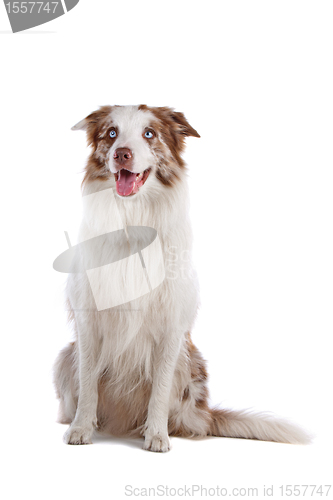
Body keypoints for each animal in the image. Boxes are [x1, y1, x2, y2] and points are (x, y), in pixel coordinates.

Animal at [53, 103, 310, 452]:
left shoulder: (171, 326)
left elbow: (159, 390)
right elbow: (88, 382)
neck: (133, 220)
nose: (121, 153)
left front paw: (157, 435)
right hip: (65, 356)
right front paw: (80, 429)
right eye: (111, 133)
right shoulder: (88, 319)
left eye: (150, 133)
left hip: (189, 364)